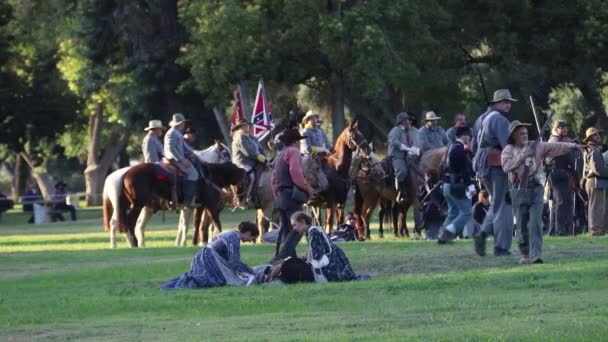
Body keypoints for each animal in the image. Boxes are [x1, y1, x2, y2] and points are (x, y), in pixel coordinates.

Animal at [113, 162, 246, 247]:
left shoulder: (200, 207)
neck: (210, 176)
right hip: (138, 205)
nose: (242, 201)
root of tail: (126, 173)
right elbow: (215, 223)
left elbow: (196, 224)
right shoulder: (210, 206)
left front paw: (195, 242)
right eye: (243, 182)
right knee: (129, 220)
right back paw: (133, 241)